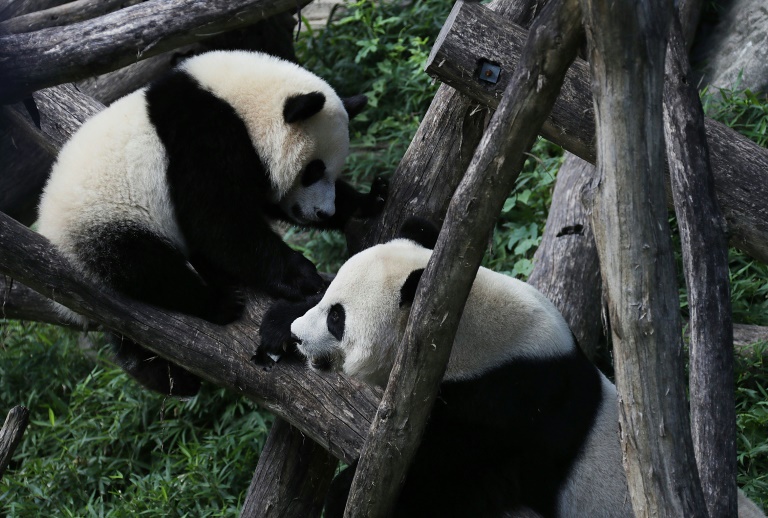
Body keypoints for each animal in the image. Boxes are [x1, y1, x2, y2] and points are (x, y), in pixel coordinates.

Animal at [37, 49, 384, 398]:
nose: (323, 212)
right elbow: (218, 222)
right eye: (313, 170)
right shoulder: (201, 138)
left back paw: (166, 376)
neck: (239, 102)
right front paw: (302, 276)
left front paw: (367, 201)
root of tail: (52, 236)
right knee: (146, 266)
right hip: (107, 222)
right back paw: (218, 303)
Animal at [260, 219, 764, 518]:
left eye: (337, 318)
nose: (302, 336)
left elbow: (453, 475)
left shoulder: (509, 406)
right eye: (329, 302)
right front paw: (278, 325)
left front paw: (343, 494)